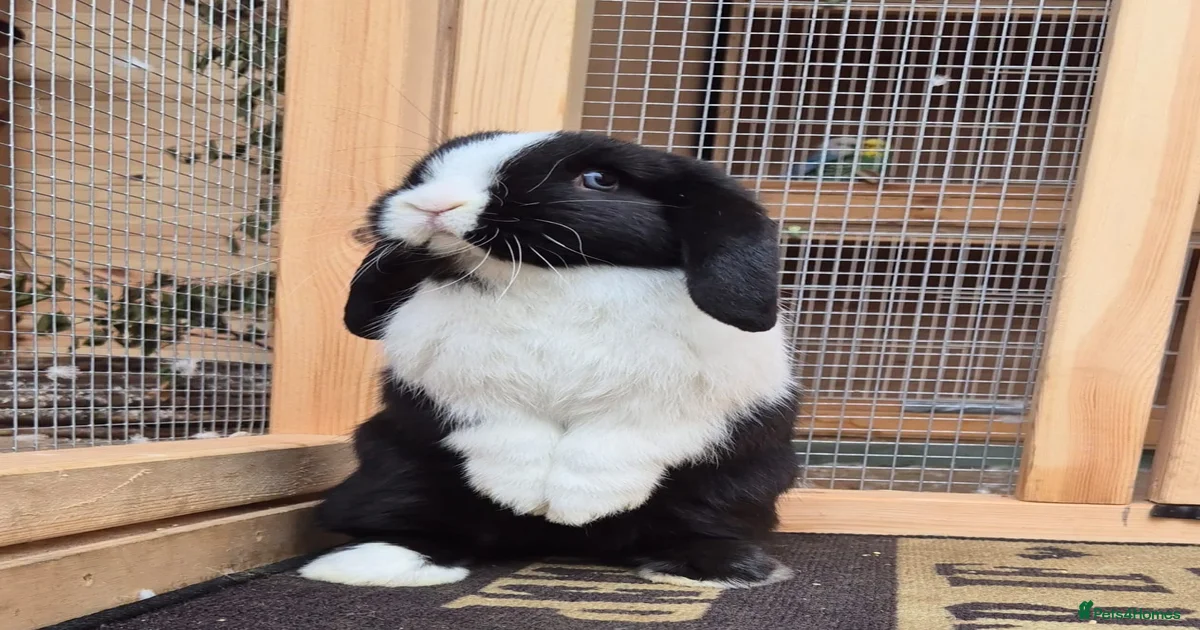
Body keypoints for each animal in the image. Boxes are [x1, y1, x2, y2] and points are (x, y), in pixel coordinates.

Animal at [299, 131, 800, 590]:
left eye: (600, 179)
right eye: (423, 174)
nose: (433, 205)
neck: (548, 275)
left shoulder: (679, 402)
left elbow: (617, 443)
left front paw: (580, 503)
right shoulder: (455, 388)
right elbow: (505, 433)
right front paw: (519, 492)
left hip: (740, 484)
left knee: (695, 523)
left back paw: (720, 568)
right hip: (390, 464)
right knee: (410, 515)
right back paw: (377, 563)